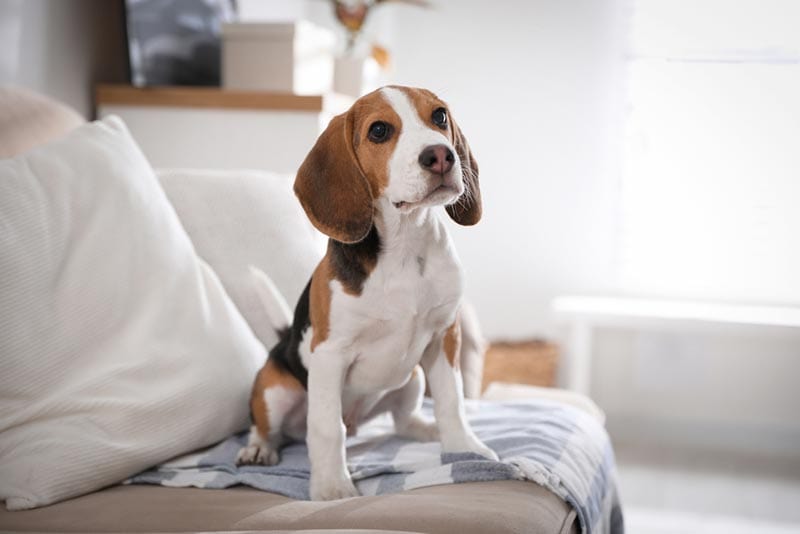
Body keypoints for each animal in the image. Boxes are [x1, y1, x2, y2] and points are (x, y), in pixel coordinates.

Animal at [234, 85, 496, 502]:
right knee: (269, 426)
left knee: (403, 421)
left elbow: (451, 401)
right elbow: (327, 428)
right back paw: (259, 448)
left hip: (412, 377)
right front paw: (332, 487)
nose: (441, 155)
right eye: (378, 131)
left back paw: (427, 430)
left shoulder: (444, 337)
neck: (405, 243)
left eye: (439, 116)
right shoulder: (329, 354)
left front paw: (464, 448)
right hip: (274, 388)